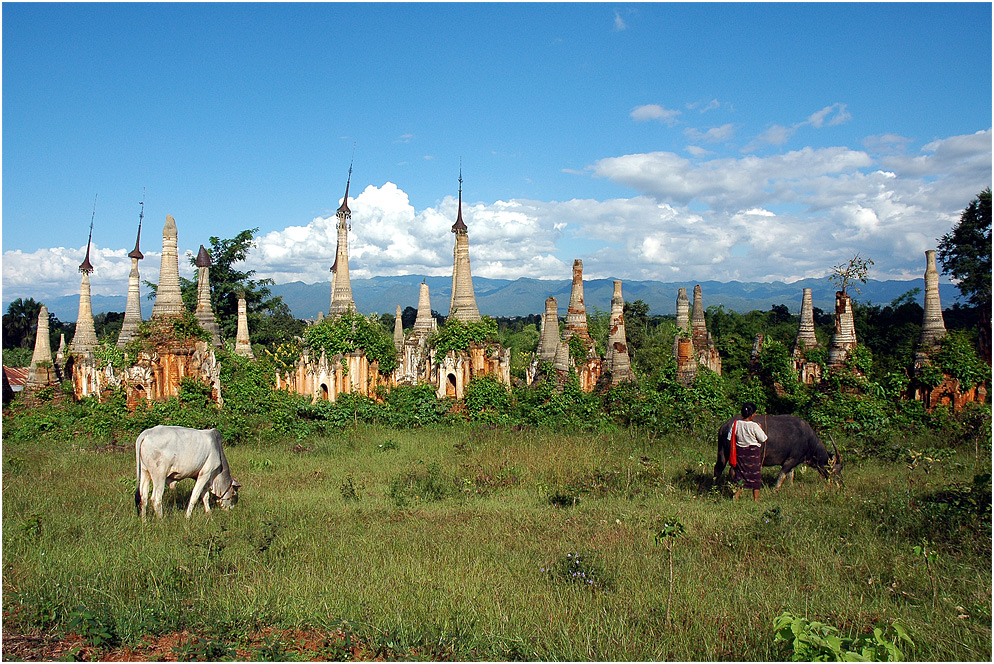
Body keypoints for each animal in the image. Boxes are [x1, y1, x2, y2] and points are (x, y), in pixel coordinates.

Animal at [708, 416, 840, 488]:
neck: (808, 441)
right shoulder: (790, 460)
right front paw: (776, 489)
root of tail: (724, 427)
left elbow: (791, 475)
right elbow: (782, 475)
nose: (840, 483)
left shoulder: (794, 461)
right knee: (733, 471)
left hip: (722, 454)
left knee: (718, 468)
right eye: (834, 469)